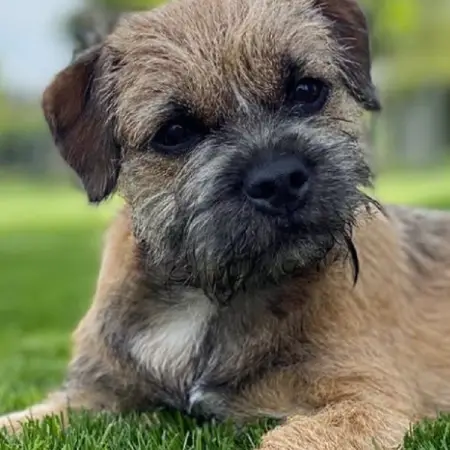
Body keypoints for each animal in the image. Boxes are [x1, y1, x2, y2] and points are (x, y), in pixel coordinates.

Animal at [2, 0, 450, 450]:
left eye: (307, 91)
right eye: (174, 132)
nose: (279, 179)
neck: (205, 294)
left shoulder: (364, 398)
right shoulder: (90, 396)